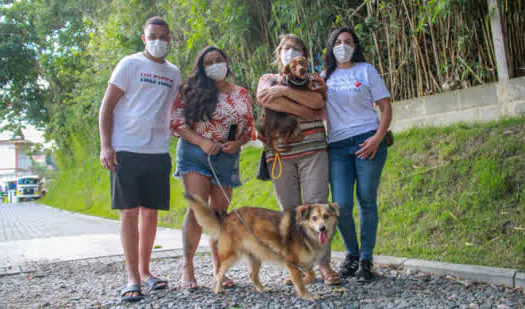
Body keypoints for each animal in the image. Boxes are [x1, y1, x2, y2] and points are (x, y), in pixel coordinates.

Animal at [184, 192, 338, 298]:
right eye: (314, 218)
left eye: (326, 216)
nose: (322, 229)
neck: (304, 232)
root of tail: (227, 216)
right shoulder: (292, 262)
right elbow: (299, 282)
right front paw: (306, 295)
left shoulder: (303, 263)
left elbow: (311, 274)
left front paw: (298, 281)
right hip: (231, 255)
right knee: (219, 272)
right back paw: (217, 289)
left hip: (255, 257)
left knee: (252, 275)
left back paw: (262, 289)